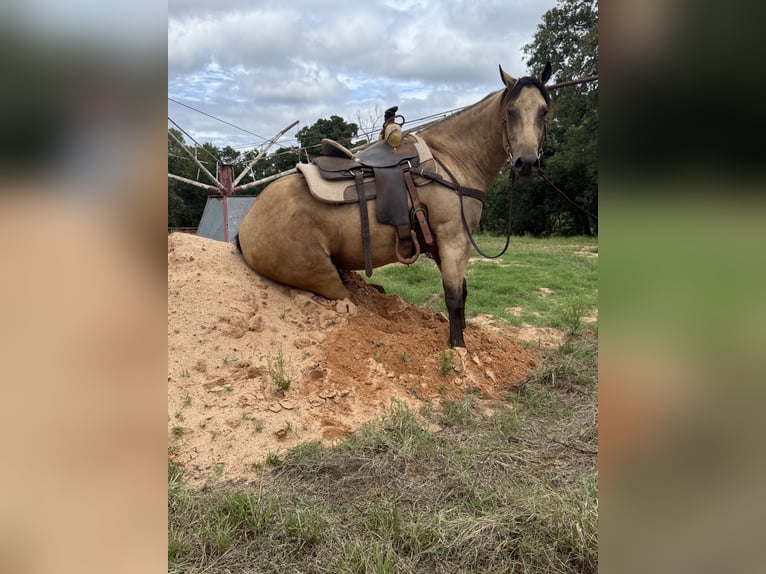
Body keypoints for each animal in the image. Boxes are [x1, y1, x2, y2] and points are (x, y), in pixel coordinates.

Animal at [237, 62, 552, 348]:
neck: (450, 162)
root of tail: (245, 227)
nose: (526, 163)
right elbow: (453, 296)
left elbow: (461, 292)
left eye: (544, 112)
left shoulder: (445, 244)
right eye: (510, 112)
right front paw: (458, 346)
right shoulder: (453, 238)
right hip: (324, 277)